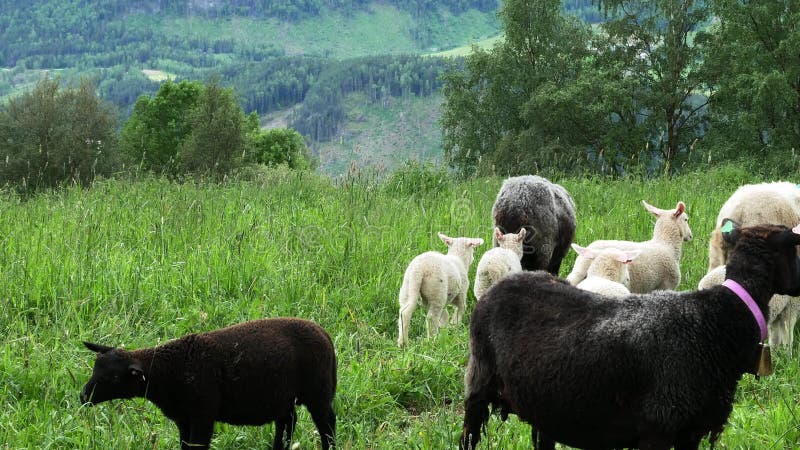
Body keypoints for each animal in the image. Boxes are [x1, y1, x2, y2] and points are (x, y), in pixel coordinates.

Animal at [83, 316, 340, 450]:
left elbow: (198, 446)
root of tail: (325, 335)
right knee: (287, 422)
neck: (168, 371)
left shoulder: (202, 414)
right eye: (95, 368)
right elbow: (186, 446)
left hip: (318, 392)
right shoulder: (183, 419)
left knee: (326, 424)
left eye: (114, 378)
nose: (83, 396)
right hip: (282, 396)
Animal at [460, 221, 800, 450]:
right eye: (794, 248)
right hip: (479, 382)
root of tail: (502, 284)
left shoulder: (691, 430)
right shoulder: (658, 426)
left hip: (543, 399)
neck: (719, 317)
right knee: (468, 435)